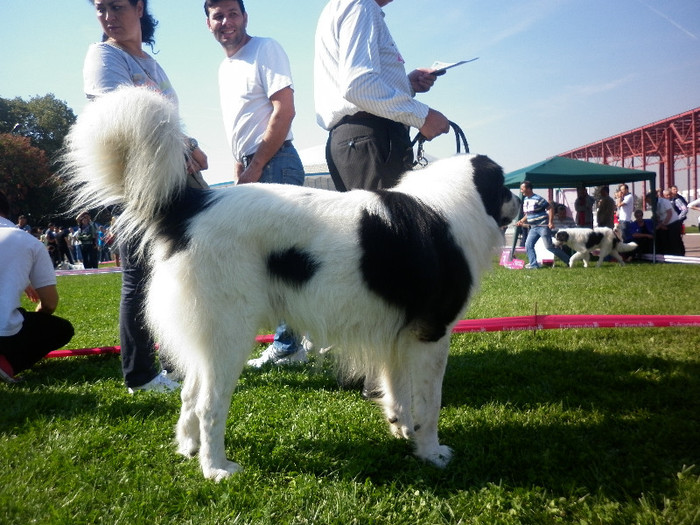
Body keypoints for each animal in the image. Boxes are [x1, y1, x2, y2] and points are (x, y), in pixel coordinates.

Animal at [61, 86, 520, 478]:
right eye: (503, 186)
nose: (520, 196)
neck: (451, 206)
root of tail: (191, 204)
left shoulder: (399, 336)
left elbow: (399, 392)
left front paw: (401, 429)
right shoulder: (431, 335)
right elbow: (431, 403)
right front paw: (431, 452)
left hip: (207, 339)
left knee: (190, 395)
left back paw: (190, 450)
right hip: (230, 334)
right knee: (210, 404)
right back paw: (216, 468)